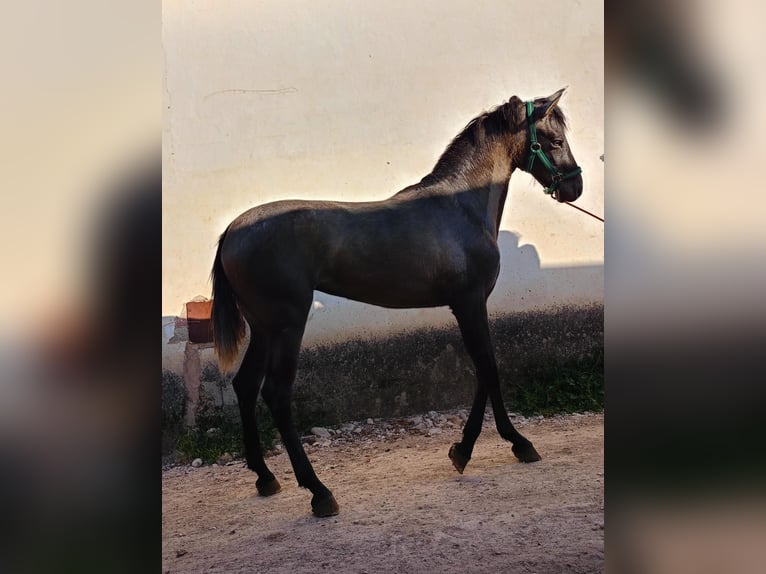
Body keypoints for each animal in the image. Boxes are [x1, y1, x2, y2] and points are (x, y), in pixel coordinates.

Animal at [210, 88, 584, 520]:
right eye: (554, 140)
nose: (575, 188)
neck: (460, 208)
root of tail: (231, 232)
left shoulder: (471, 307)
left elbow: (482, 370)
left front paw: (470, 448)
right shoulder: (469, 304)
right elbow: (489, 369)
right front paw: (507, 444)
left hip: (264, 327)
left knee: (245, 385)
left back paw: (265, 477)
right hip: (287, 325)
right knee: (276, 394)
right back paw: (319, 492)